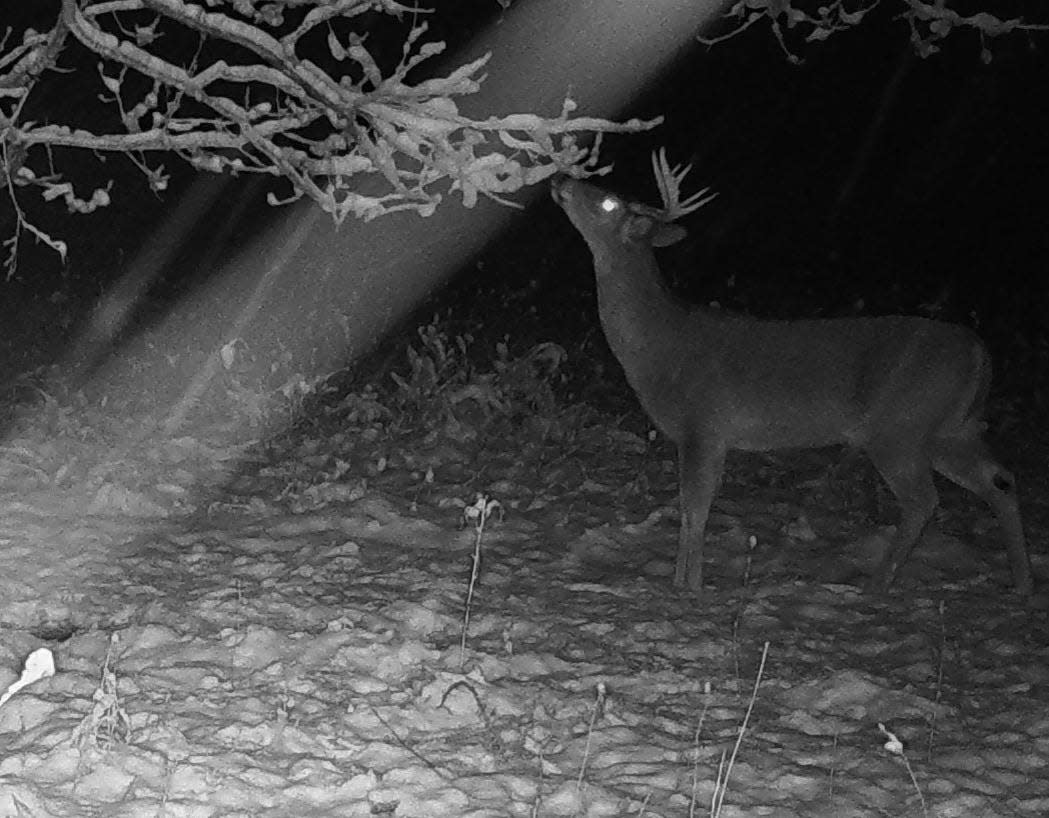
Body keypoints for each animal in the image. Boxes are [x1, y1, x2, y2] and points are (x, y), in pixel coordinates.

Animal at [553, 149, 1036, 599]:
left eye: (610, 202)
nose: (560, 180)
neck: (661, 344)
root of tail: (979, 352)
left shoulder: (704, 424)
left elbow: (697, 507)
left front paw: (688, 587)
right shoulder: (696, 434)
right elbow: (690, 508)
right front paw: (681, 581)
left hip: (900, 426)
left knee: (924, 500)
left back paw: (877, 584)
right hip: (948, 429)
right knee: (1000, 480)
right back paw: (1022, 583)